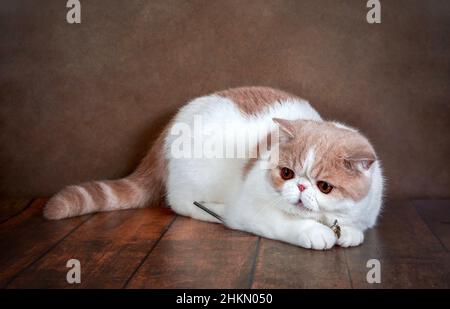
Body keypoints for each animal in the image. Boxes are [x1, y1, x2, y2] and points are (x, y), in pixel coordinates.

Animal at [44, 85, 384, 249]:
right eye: (286, 173)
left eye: (324, 186)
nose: (300, 187)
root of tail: (170, 125)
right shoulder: (250, 210)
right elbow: (288, 223)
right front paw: (314, 232)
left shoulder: (364, 212)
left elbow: (354, 227)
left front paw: (347, 232)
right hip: (194, 182)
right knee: (182, 204)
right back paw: (210, 211)